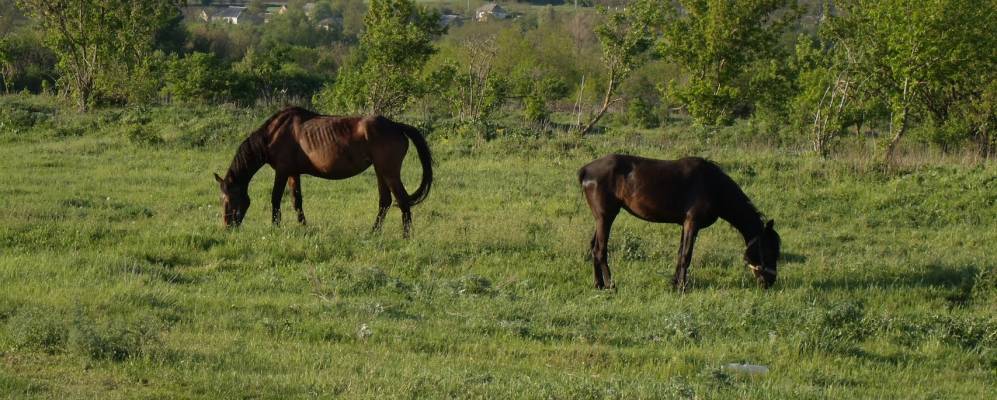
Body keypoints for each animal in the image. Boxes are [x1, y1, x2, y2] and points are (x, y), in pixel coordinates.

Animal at [214, 107, 432, 238]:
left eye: (228, 200)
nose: (226, 227)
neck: (273, 134)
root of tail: (396, 126)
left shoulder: (282, 172)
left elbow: (275, 198)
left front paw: (275, 227)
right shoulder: (293, 173)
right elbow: (296, 200)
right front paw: (303, 226)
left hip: (390, 172)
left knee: (402, 201)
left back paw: (405, 236)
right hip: (380, 171)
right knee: (385, 201)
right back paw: (374, 232)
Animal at [580, 155, 784, 290]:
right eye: (769, 250)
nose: (770, 282)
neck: (714, 186)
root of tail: (586, 170)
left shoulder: (685, 225)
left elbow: (680, 253)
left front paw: (674, 283)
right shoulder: (692, 223)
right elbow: (686, 255)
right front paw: (682, 287)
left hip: (601, 219)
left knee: (593, 247)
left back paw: (598, 284)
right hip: (606, 217)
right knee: (600, 250)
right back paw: (610, 284)